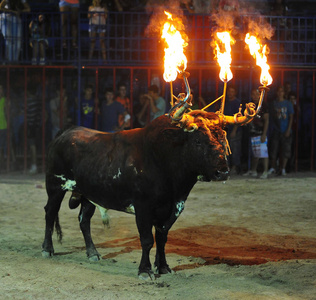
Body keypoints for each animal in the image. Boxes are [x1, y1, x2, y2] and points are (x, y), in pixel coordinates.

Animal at [40, 109, 256, 280]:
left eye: (222, 138)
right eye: (197, 141)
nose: (223, 172)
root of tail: (66, 132)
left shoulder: (174, 207)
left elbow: (161, 237)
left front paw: (163, 267)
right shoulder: (143, 208)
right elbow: (146, 239)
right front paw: (145, 270)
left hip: (89, 195)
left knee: (84, 220)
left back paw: (93, 253)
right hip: (54, 186)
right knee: (50, 213)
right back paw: (47, 249)